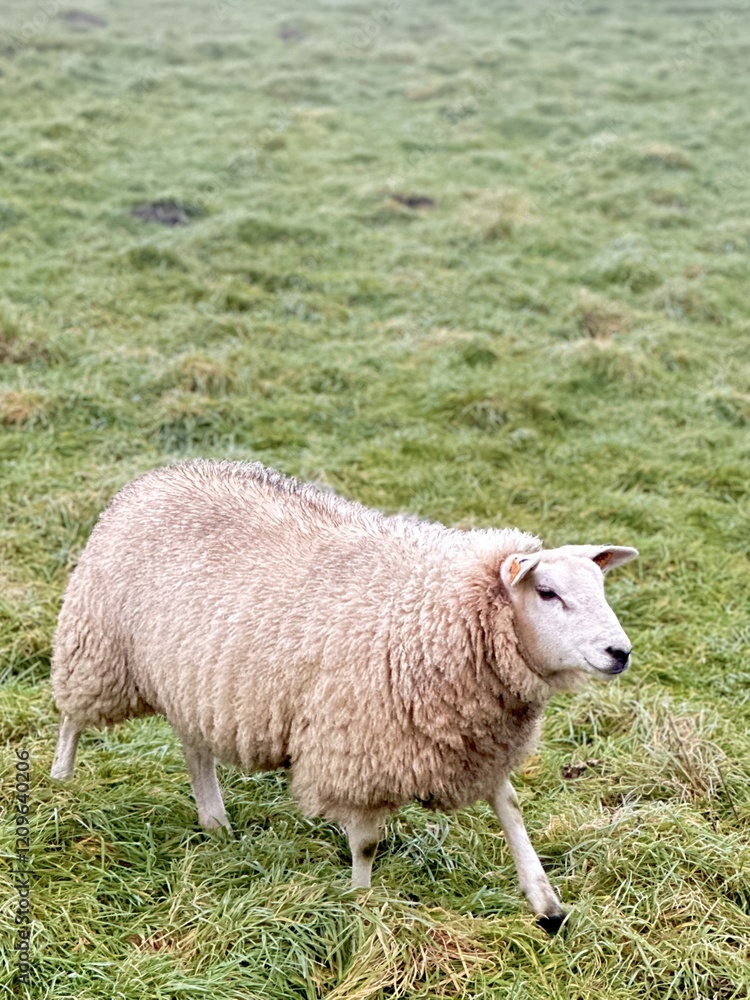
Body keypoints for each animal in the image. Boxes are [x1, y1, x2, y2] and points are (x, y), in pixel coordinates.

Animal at [50, 459, 637, 932]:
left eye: (600, 588)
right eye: (547, 593)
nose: (620, 652)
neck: (438, 614)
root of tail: (154, 477)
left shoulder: (471, 737)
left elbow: (511, 809)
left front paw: (546, 903)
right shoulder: (359, 749)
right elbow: (366, 842)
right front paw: (361, 903)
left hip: (192, 678)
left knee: (195, 748)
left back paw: (215, 822)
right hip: (97, 645)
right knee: (71, 719)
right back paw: (60, 784)